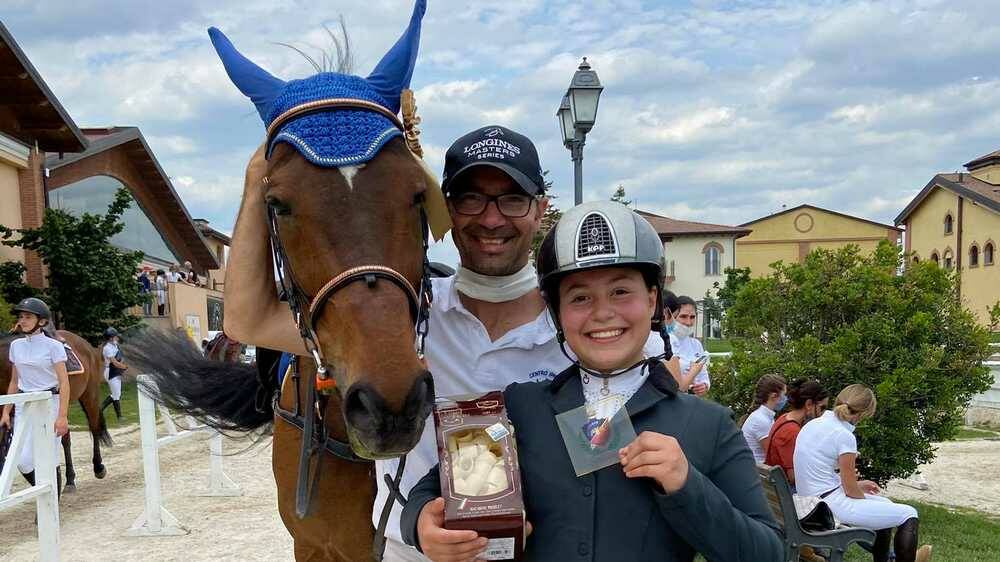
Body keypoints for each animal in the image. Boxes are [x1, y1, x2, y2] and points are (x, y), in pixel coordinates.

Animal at [0, 330, 112, 488]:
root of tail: (86, 344)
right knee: (66, 438)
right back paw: (70, 479)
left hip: (89, 394)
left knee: (94, 427)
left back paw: (98, 467)